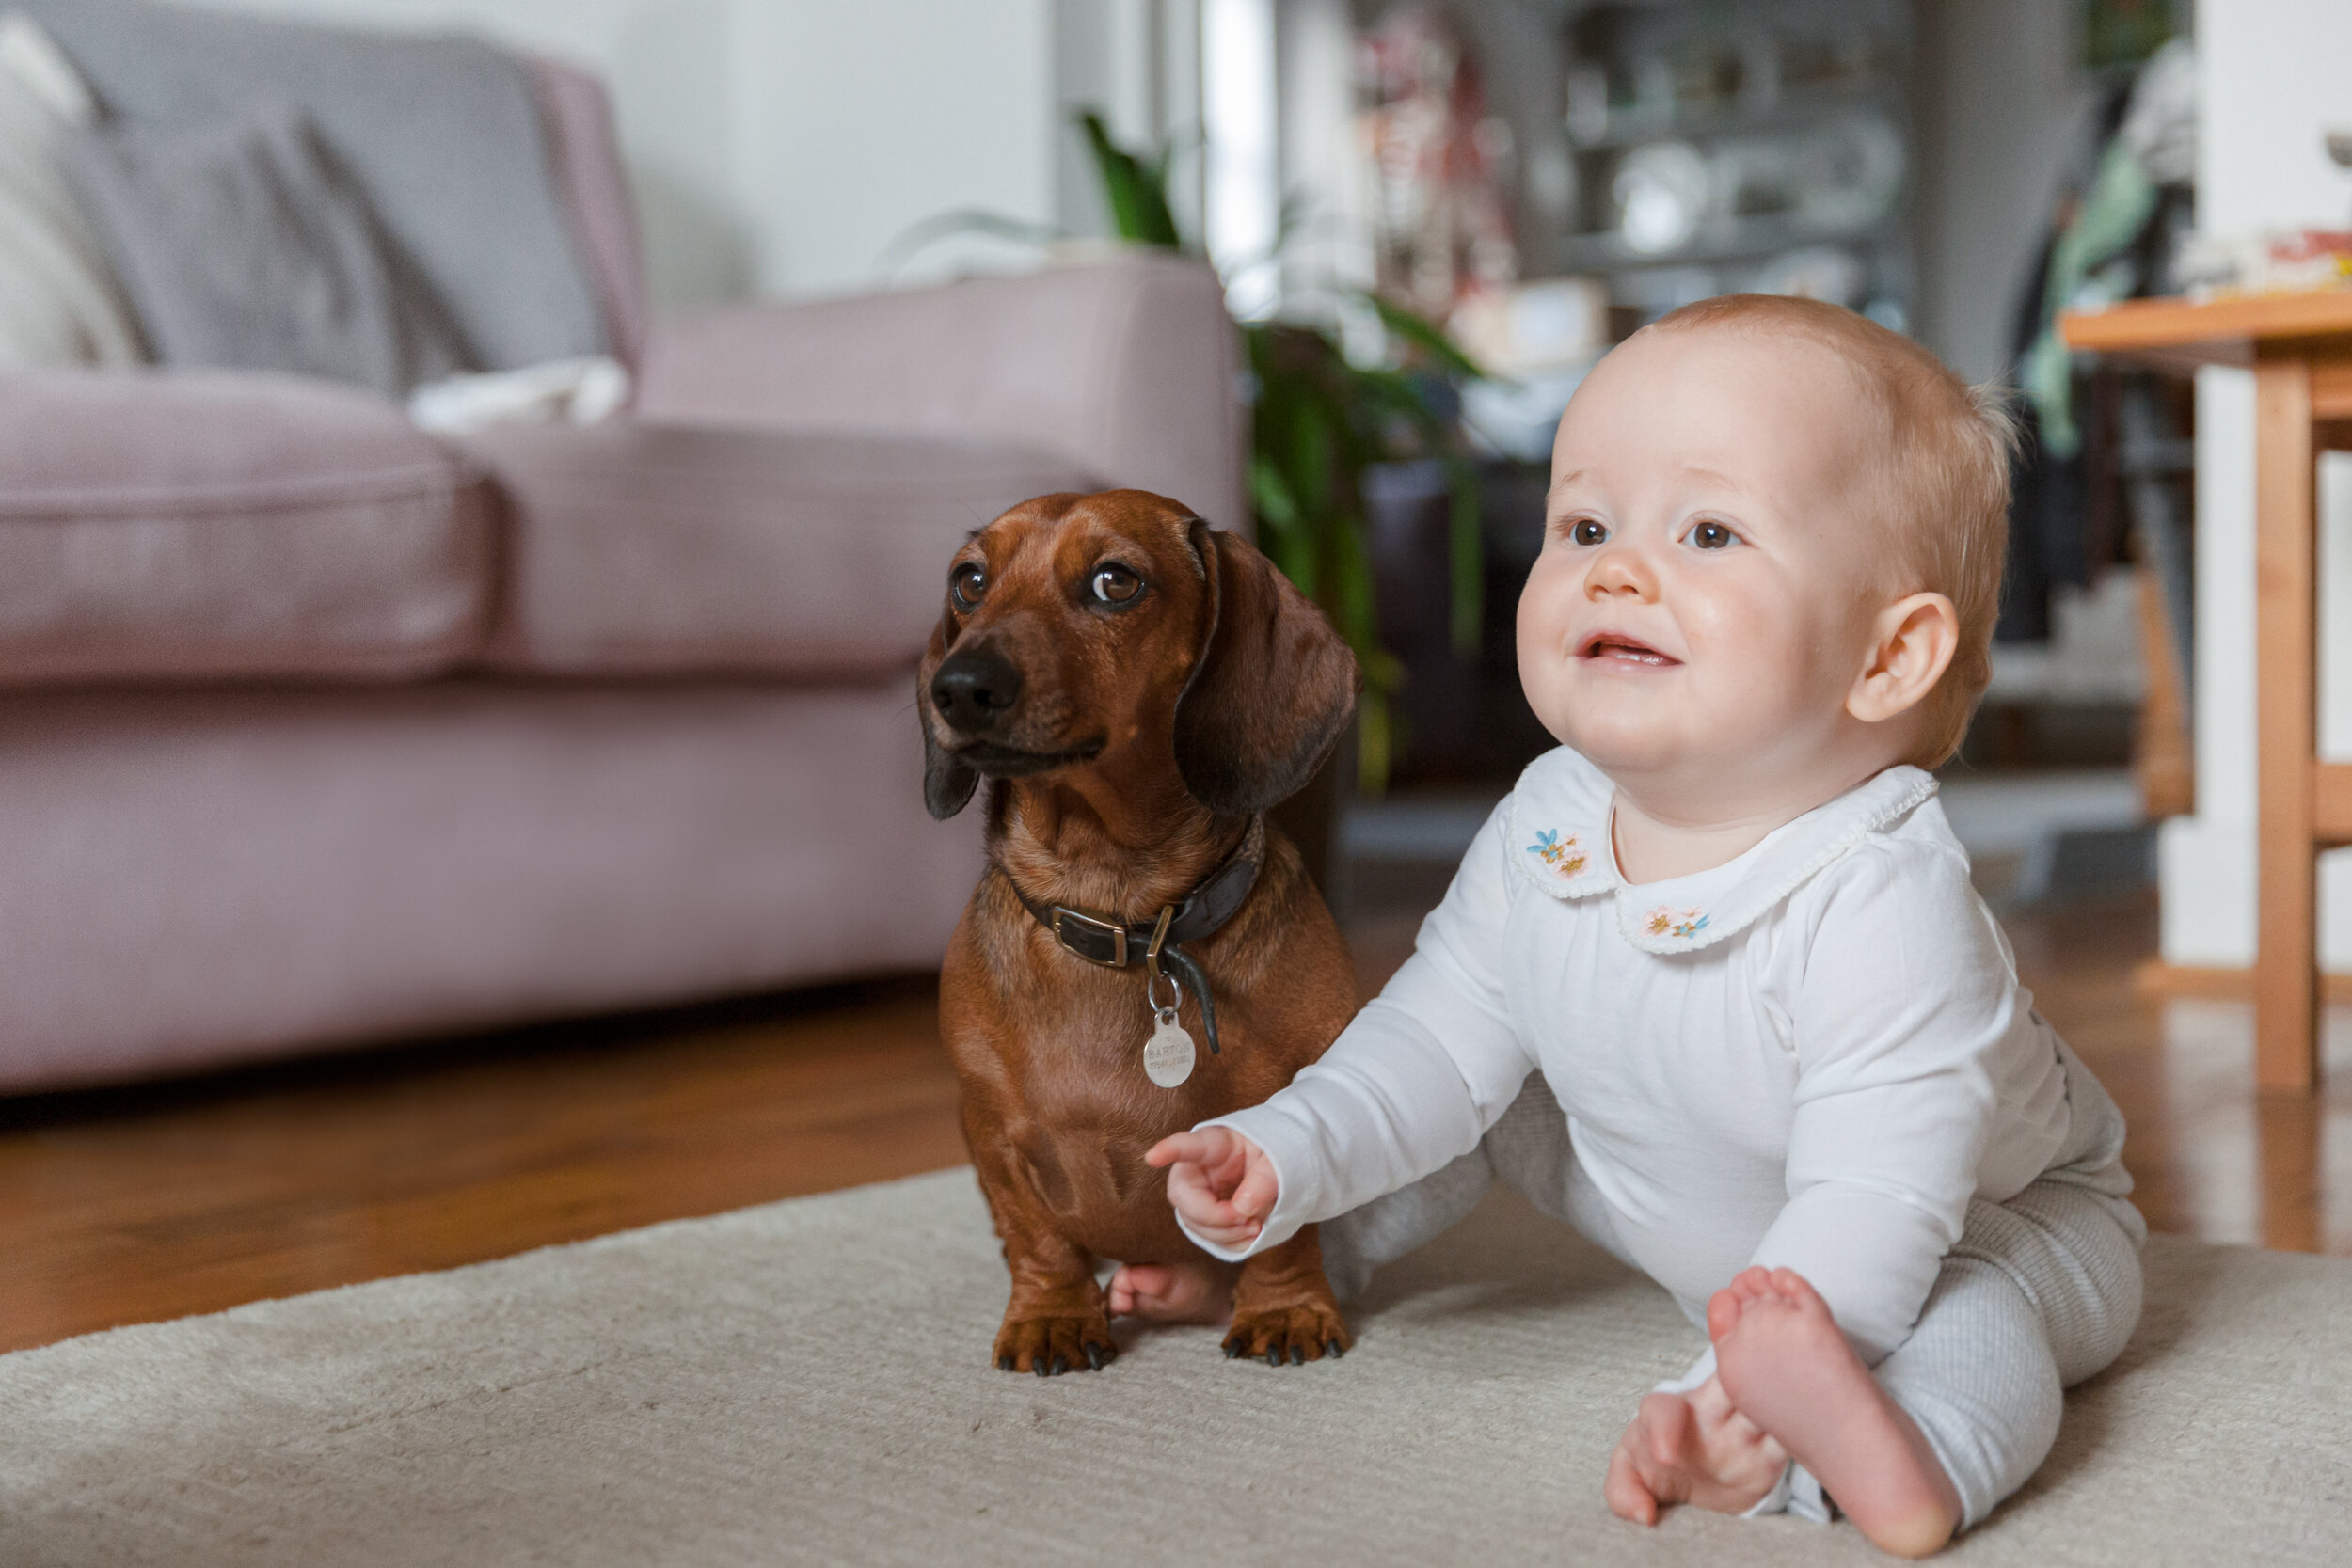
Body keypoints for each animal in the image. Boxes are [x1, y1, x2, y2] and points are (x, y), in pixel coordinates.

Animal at [917, 486, 1364, 1372]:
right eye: (969, 580)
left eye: (1115, 581)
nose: (959, 686)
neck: (1118, 911)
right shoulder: (989, 1130)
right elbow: (1036, 1233)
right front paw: (1052, 1314)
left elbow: (1286, 1220)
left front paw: (1286, 1307)